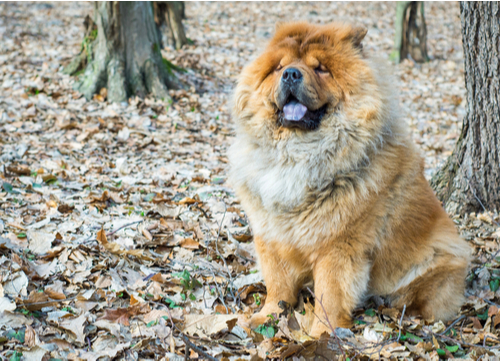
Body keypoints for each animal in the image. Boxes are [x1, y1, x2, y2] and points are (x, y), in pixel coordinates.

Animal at [229, 23, 470, 338]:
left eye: (320, 69)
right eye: (278, 67)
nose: (291, 74)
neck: (296, 156)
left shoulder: (338, 246)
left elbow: (330, 295)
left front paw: (321, 334)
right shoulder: (271, 232)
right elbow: (277, 285)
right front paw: (265, 317)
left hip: (440, 261)